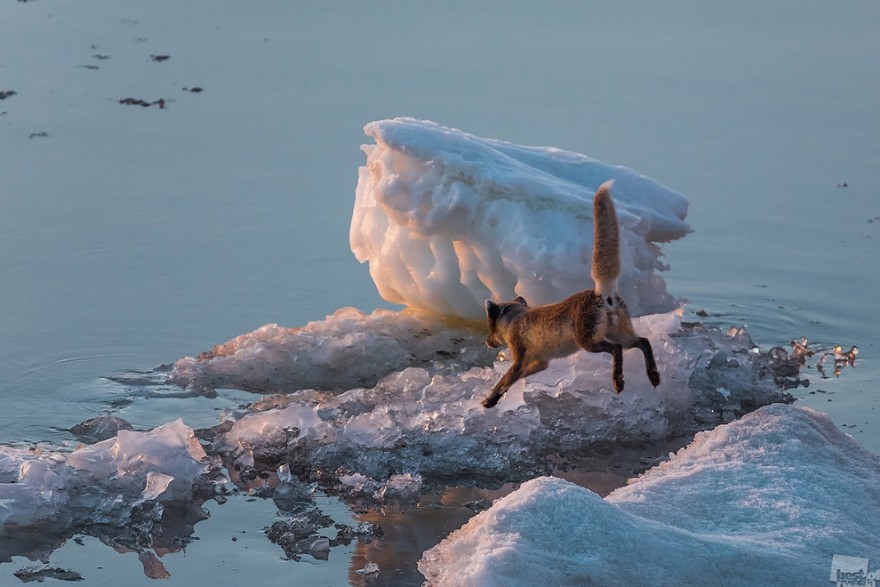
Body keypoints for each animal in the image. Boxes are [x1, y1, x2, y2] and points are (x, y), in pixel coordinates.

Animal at [482, 183, 660, 408]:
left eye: (490, 327)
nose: (487, 342)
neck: (516, 319)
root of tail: (601, 292)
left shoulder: (520, 358)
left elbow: (504, 380)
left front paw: (490, 400)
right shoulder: (540, 362)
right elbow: (516, 379)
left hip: (590, 342)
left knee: (617, 349)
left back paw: (618, 381)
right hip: (620, 334)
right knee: (644, 341)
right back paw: (653, 375)